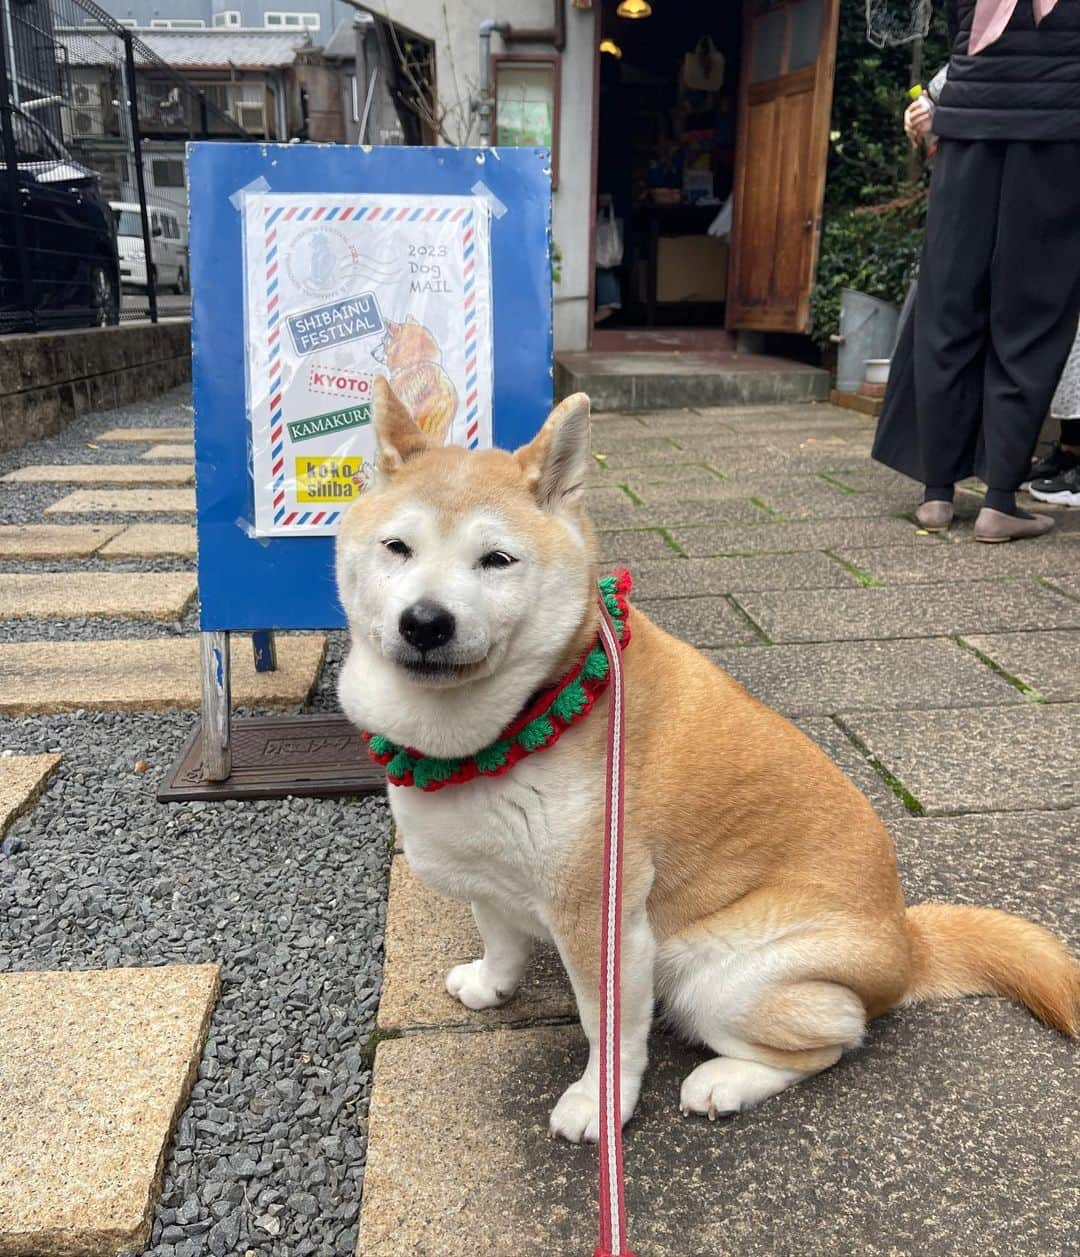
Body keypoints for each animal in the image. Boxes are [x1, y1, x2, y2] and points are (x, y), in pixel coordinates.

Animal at [336, 377, 1080, 1146]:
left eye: (497, 560)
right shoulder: (491, 877)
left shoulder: (602, 919)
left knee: (834, 1039)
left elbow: (608, 1032)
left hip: (715, 976)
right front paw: (490, 984)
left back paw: (724, 1081)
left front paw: (599, 1103)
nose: (426, 622)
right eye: (398, 547)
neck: (506, 726)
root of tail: (907, 943)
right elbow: (502, 940)